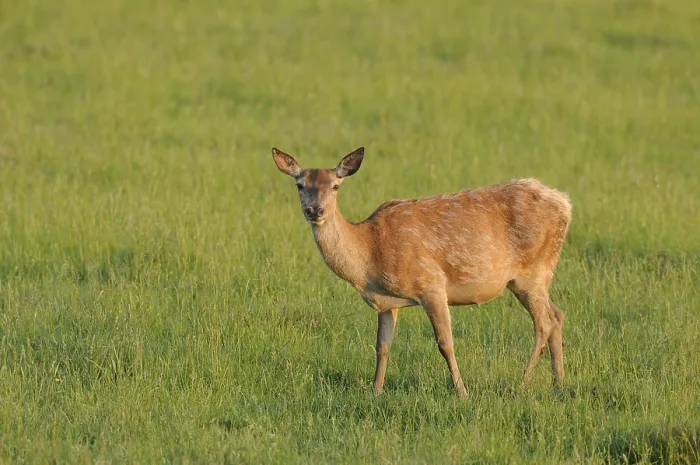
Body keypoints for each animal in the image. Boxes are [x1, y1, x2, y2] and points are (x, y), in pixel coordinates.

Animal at [272, 146, 572, 398]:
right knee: (558, 315)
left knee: (544, 323)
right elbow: (382, 346)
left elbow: (445, 343)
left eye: (335, 186)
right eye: (300, 185)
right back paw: (558, 383)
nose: (315, 210)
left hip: (533, 270)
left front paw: (462, 392)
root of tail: (565, 203)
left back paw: (521, 383)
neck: (370, 256)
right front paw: (375, 391)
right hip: (530, 278)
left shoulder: (431, 284)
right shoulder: (387, 302)